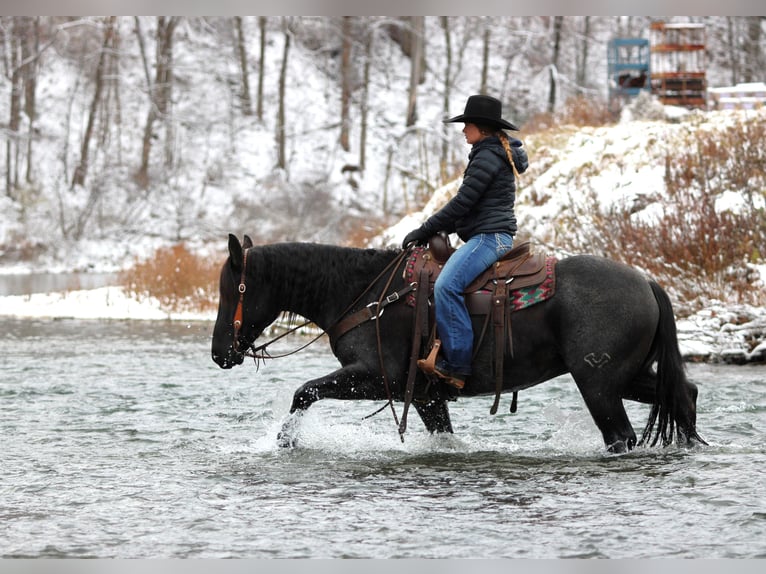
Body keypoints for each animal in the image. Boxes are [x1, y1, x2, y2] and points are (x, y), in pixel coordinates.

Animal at [211, 234, 706, 453]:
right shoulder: (426, 397)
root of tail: (647, 283)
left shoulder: (377, 379)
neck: (366, 294)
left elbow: (304, 392)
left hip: (598, 384)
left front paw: (286, 443)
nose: (219, 353)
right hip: (626, 377)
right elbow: (445, 438)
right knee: (685, 395)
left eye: (232, 289)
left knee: (621, 435)